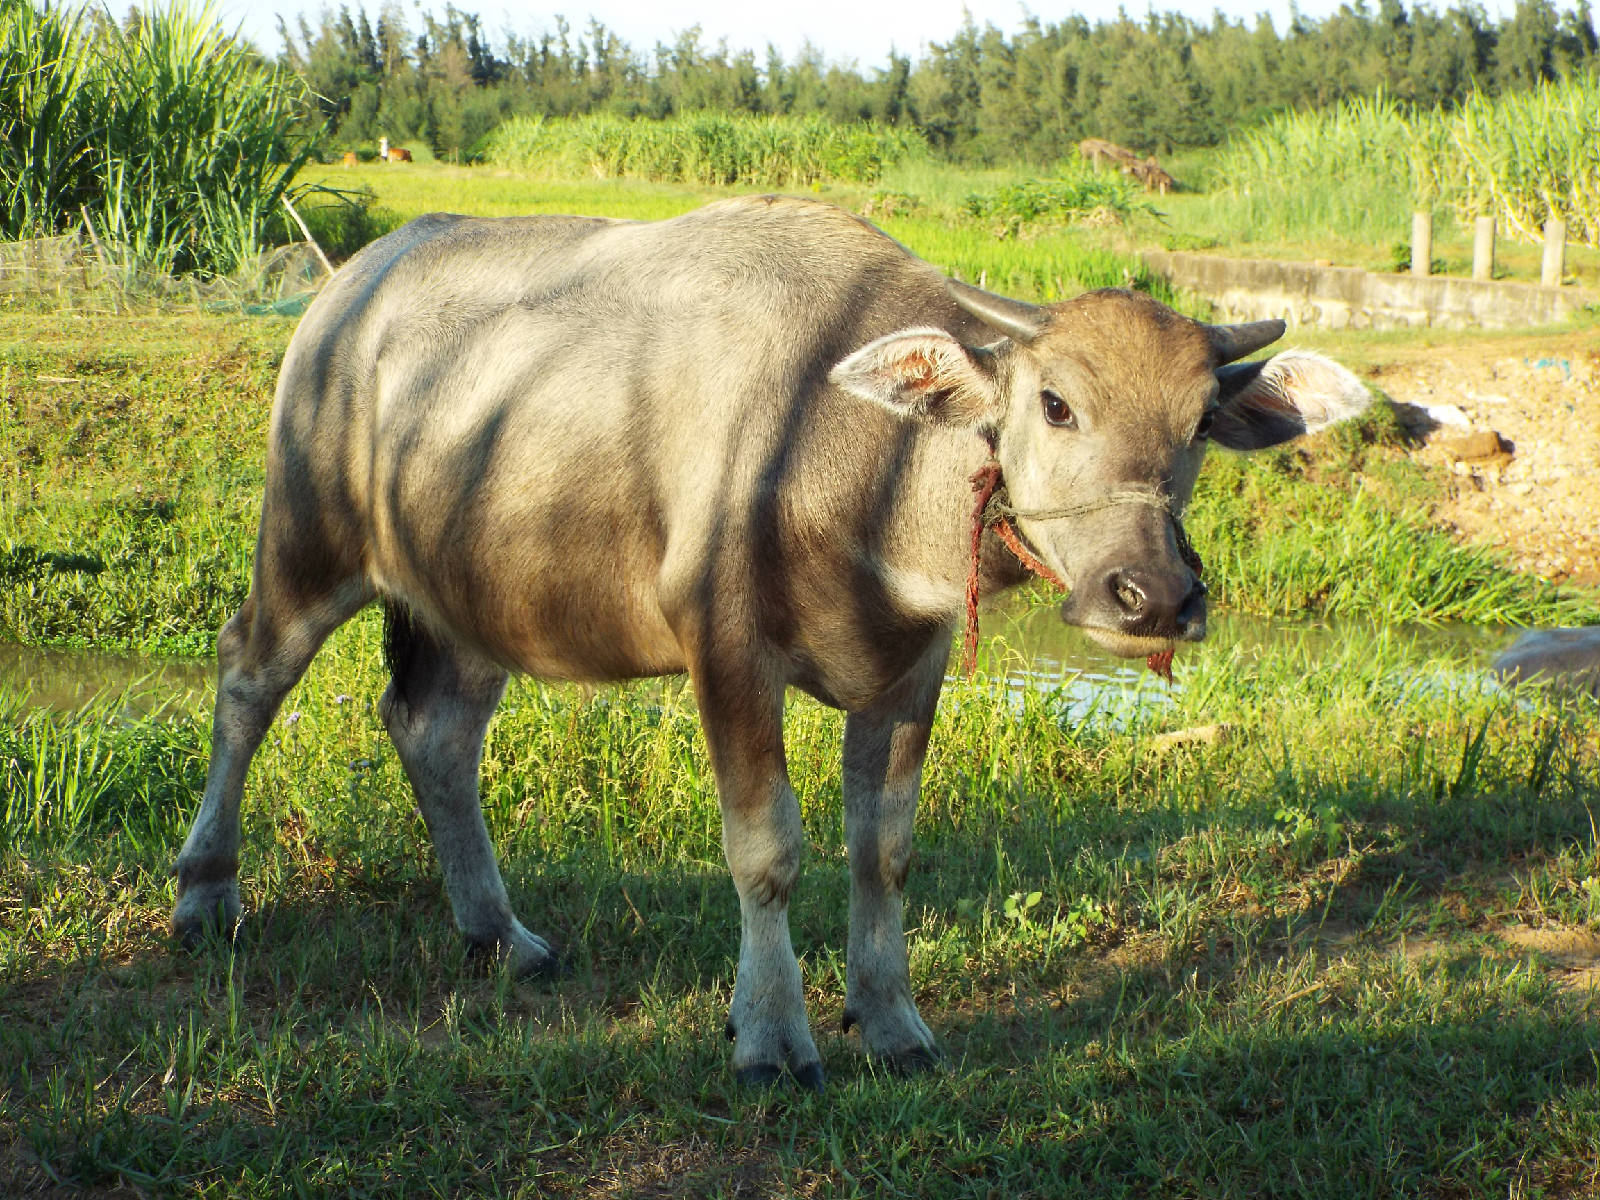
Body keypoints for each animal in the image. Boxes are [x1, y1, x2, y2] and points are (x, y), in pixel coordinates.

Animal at [178, 195, 1376, 1088]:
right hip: (307, 541)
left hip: (472, 595)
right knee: (247, 676)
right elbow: (767, 850)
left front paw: (894, 1024)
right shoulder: (725, 650)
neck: (858, 461)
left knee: (432, 730)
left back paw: (497, 935)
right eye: (1055, 403)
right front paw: (770, 1035)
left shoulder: (910, 669)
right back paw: (205, 895)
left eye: (1198, 428)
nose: (1152, 596)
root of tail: (346, 290)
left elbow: (882, 849)